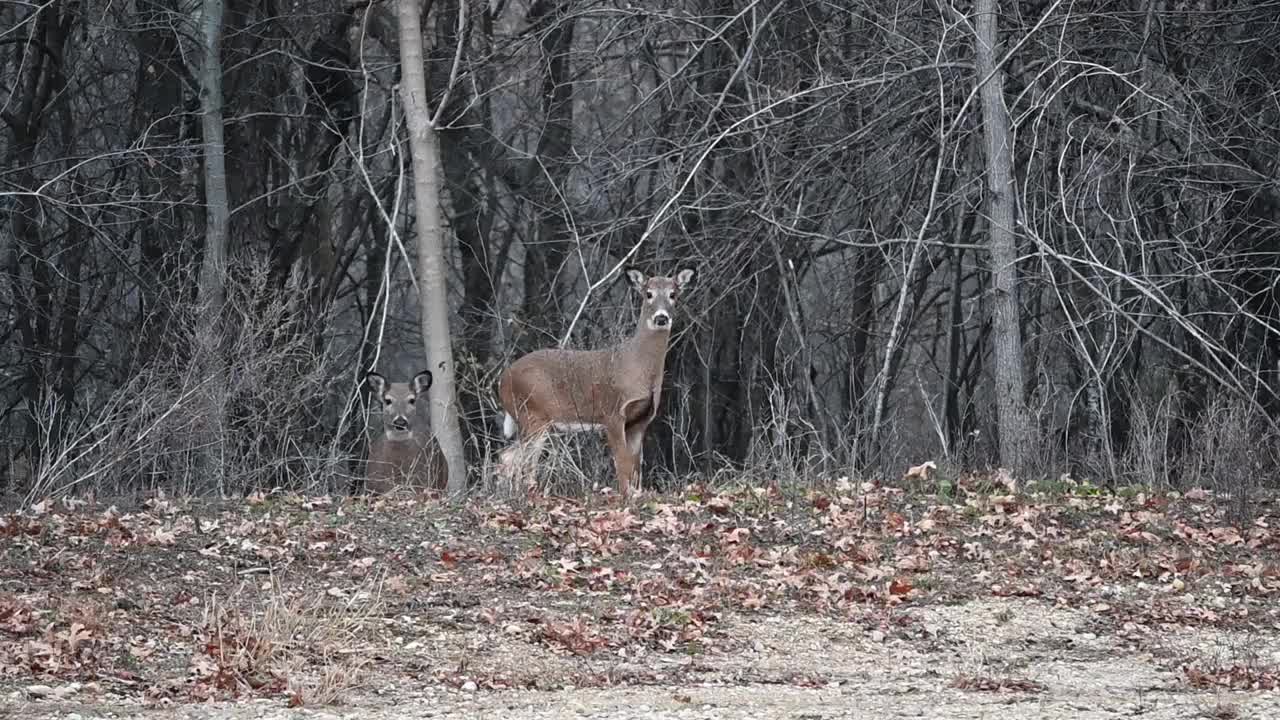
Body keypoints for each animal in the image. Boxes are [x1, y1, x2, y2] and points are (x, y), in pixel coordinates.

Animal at [494, 266, 696, 497]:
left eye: (673, 294)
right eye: (648, 294)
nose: (661, 318)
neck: (638, 366)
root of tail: (502, 381)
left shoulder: (641, 420)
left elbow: (635, 465)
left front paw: (637, 494)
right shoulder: (612, 414)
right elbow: (622, 462)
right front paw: (626, 496)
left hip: (531, 419)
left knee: (509, 457)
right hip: (531, 414)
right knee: (517, 458)